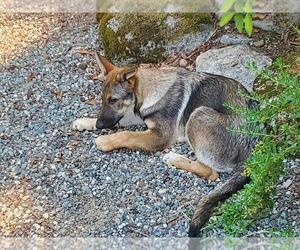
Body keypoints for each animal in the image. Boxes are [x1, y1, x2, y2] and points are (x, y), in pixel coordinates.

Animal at [71, 52, 256, 236]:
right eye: (103, 99)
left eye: (113, 100)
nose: (100, 125)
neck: (150, 91)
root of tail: (253, 152)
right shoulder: (136, 116)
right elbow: (121, 122)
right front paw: (85, 122)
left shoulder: (160, 136)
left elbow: (127, 135)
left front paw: (105, 140)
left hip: (197, 115)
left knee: (211, 172)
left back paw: (174, 158)